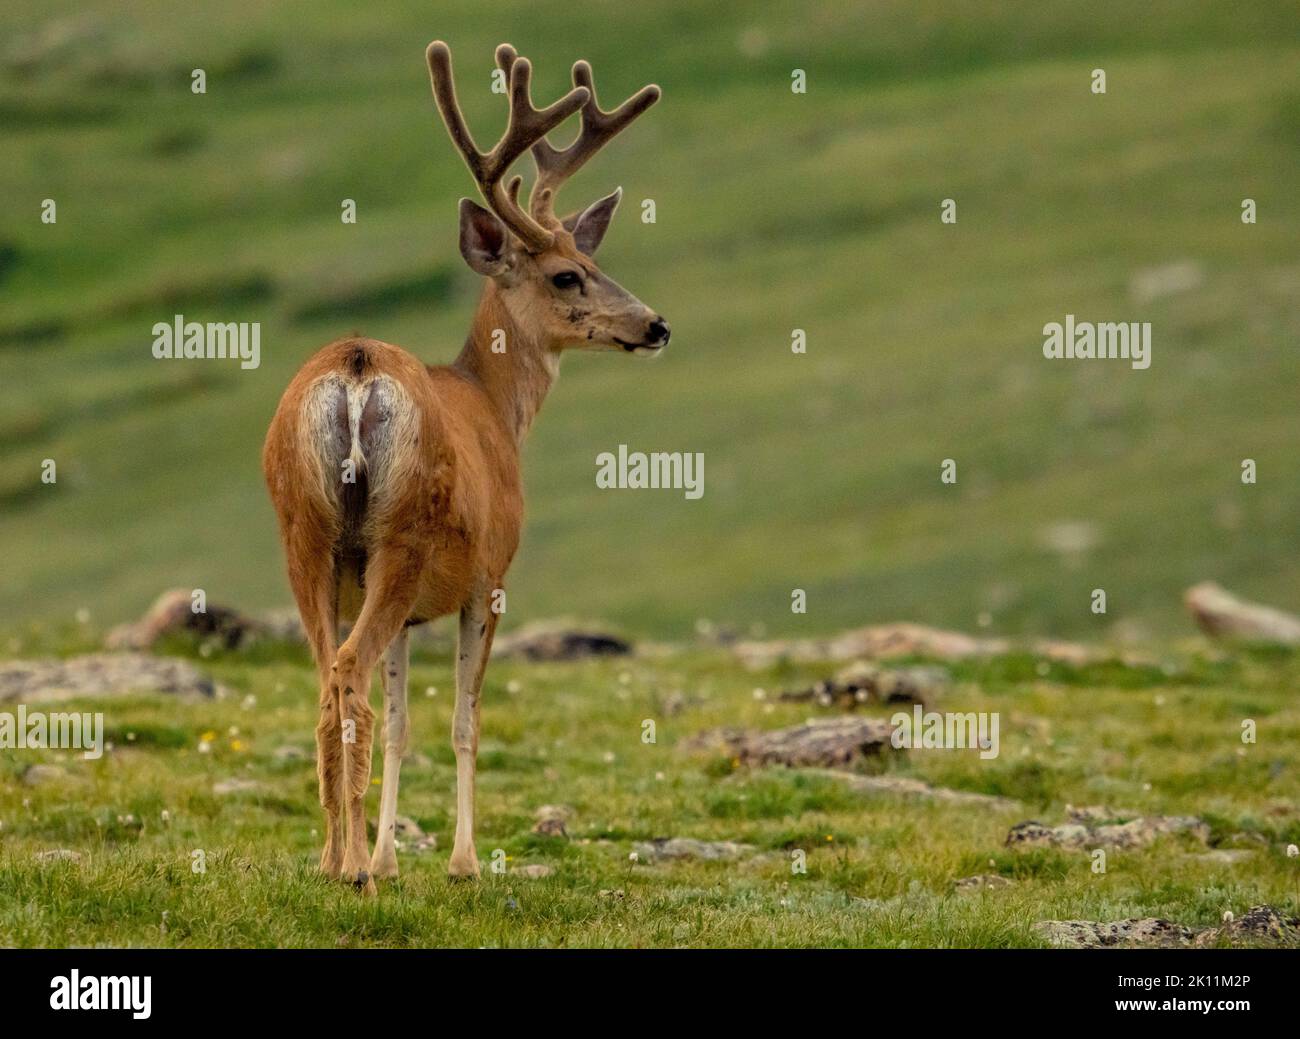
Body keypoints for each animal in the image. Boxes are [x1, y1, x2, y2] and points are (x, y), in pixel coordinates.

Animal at [261, 40, 667, 895]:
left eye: (590, 256)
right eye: (566, 274)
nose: (655, 325)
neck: (493, 405)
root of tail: (355, 369)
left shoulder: (409, 607)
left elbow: (403, 723)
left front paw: (390, 852)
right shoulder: (490, 578)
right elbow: (463, 721)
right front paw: (460, 861)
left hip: (307, 536)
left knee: (327, 683)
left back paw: (332, 859)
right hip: (402, 535)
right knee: (347, 676)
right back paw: (354, 870)